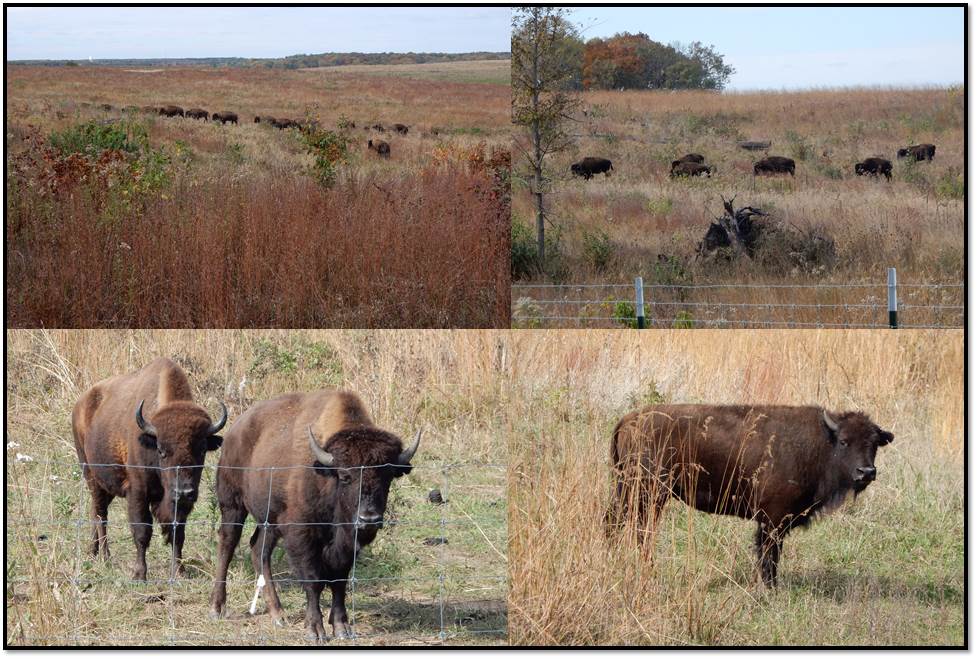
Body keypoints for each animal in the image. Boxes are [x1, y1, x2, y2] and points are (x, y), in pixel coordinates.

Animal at [72, 358, 227, 579]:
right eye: (161, 450)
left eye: (202, 449)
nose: (184, 491)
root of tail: (81, 404)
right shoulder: (138, 492)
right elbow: (142, 532)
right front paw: (139, 574)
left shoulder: (177, 504)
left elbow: (177, 534)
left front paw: (179, 571)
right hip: (90, 474)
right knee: (101, 515)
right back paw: (105, 557)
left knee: (95, 511)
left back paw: (93, 552)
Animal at [208, 390, 421, 641]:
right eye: (345, 477)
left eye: (387, 478)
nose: (368, 519)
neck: (326, 473)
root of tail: (236, 430)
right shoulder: (302, 535)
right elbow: (313, 580)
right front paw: (315, 629)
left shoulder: (346, 543)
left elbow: (339, 581)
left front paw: (341, 627)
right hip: (232, 505)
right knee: (227, 545)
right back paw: (217, 607)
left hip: (270, 520)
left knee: (259, 550)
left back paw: (278, 614)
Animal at [607, 404, 893, 587]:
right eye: (844, 441)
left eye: (874, 444)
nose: (866, 472)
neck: (822, 443)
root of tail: (628, 420)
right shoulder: (773, 521)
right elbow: (769, 555)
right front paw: (769, 588)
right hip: (647, 493)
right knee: (639, 529)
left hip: (630, 491)